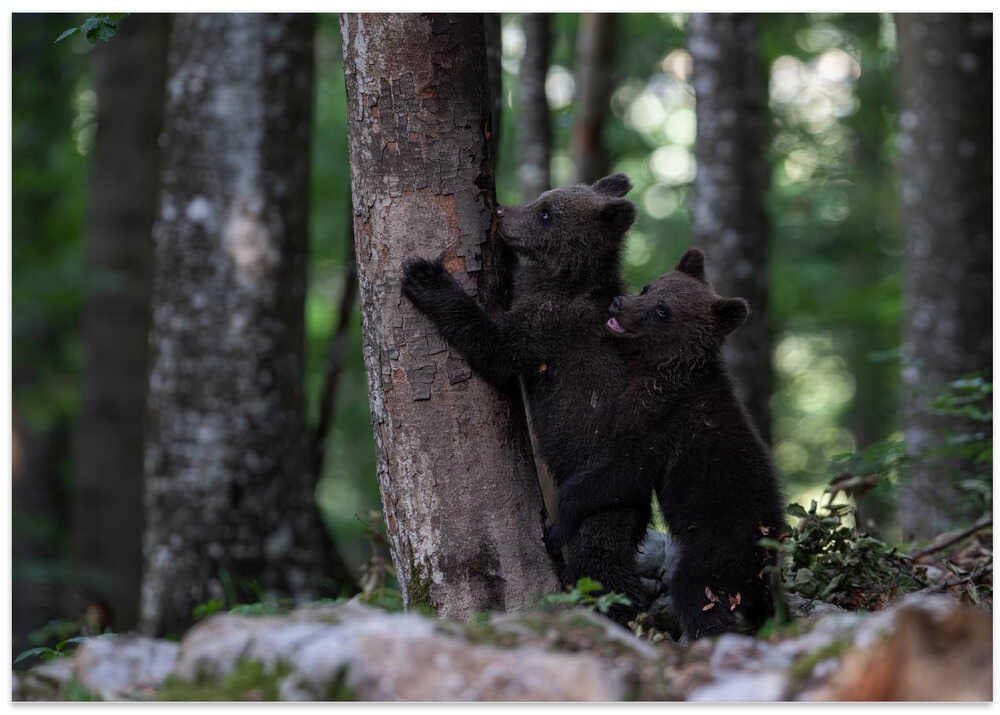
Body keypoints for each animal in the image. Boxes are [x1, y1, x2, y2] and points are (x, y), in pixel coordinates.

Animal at [401, 173, 651, 625]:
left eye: (547, 213)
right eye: (541, 200)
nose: (502, 213)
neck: (563, 280)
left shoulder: (546, 329)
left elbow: (495, 348)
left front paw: (425, 276)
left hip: (601, 490)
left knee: (599, 558)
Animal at [543, 247, 787, 640]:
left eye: (663, 311)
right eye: (648, 287)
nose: (618, 304)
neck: (662, 371)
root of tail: (764, 557)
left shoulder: (660, 426)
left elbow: (621, 475)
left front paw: (557, 525)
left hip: (715, 549)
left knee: (695, 592)